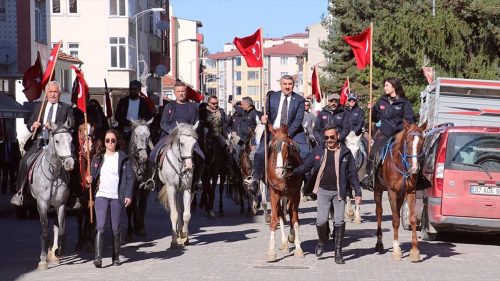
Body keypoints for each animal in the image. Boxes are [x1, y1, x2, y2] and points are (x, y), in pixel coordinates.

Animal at [29, 118, 74, 270]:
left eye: (71, 139)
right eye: (57, 141)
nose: (69, 163)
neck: (53, 175)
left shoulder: (61, 204)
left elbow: (61, 230)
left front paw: (58, 252)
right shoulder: (42, 203)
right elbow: (44, 230)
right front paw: (43, 260)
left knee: (54, 226)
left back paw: (53, 253)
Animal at [266, 124, 304, 260]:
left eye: (288, 147)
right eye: (272, 147)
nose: (279, 172)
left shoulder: (295, 193)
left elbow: (295, 219)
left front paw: (298, 248)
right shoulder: (274, 193)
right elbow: (274, 221)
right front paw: (271, 252)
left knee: (289, 213)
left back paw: (291, 237)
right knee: (281, 215)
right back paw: (284, 243)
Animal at [374, 120, 428, 260]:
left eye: (422, 142)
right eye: (407, 142)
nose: (414, 168)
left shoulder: (410, 192)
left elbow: (412, 219)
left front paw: (414, 251)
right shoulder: (391, 192)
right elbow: (395, 220)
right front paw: (397, 250)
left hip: (400, 195)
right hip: (378, 190)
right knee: (379, 212)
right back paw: (379, 243)